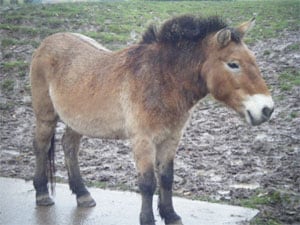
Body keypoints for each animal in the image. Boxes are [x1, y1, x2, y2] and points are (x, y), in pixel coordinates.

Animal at [30, 15, 274, 225]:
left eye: (253, 60)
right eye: (233, 64)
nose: (267, 109)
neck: (161, 79)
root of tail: (47, 42)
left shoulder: (171, 138)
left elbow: (166, 178)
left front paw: (171, 215)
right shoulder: (143, 140)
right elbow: (147, 183)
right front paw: (147, 219)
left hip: (77, 121)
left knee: (69, 147)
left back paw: (83, 195)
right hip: (45, 116)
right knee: (41, 146)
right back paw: (42, 194)